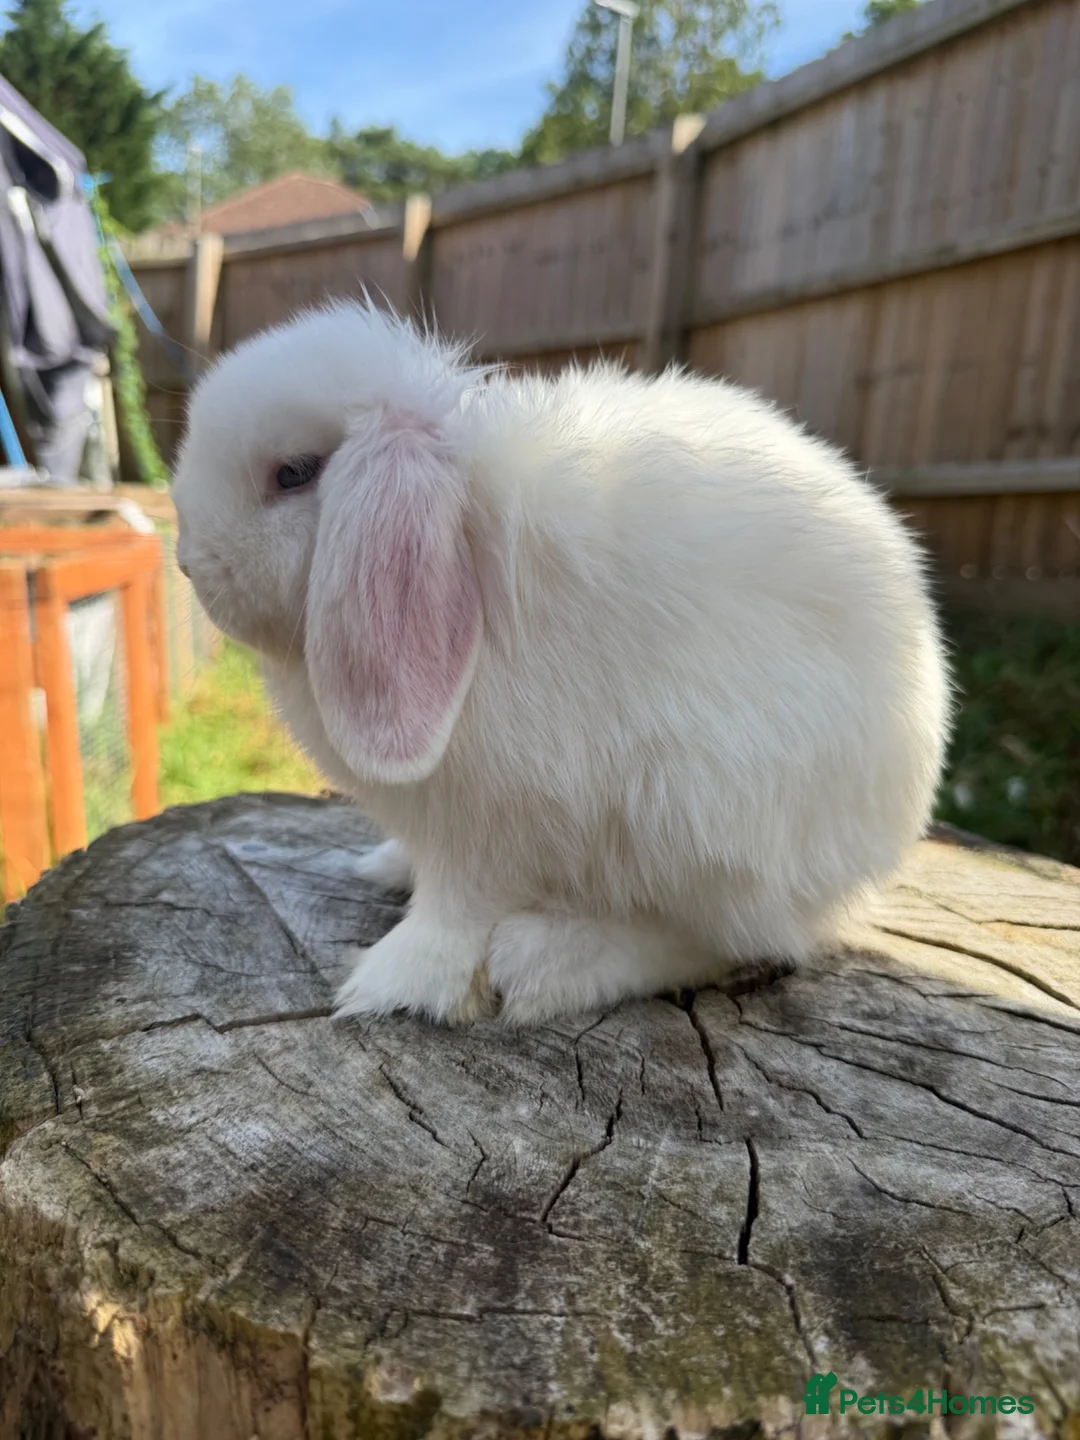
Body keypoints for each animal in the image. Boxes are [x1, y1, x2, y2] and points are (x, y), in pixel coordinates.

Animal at [172, 300, 950, 1027]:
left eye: (293, 474)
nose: (188, 564)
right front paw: (388, 870)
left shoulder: (490, 826)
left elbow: (453, 912)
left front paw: (392, 985)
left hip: (704, 823)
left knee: (738, 941)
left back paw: (546, 964)